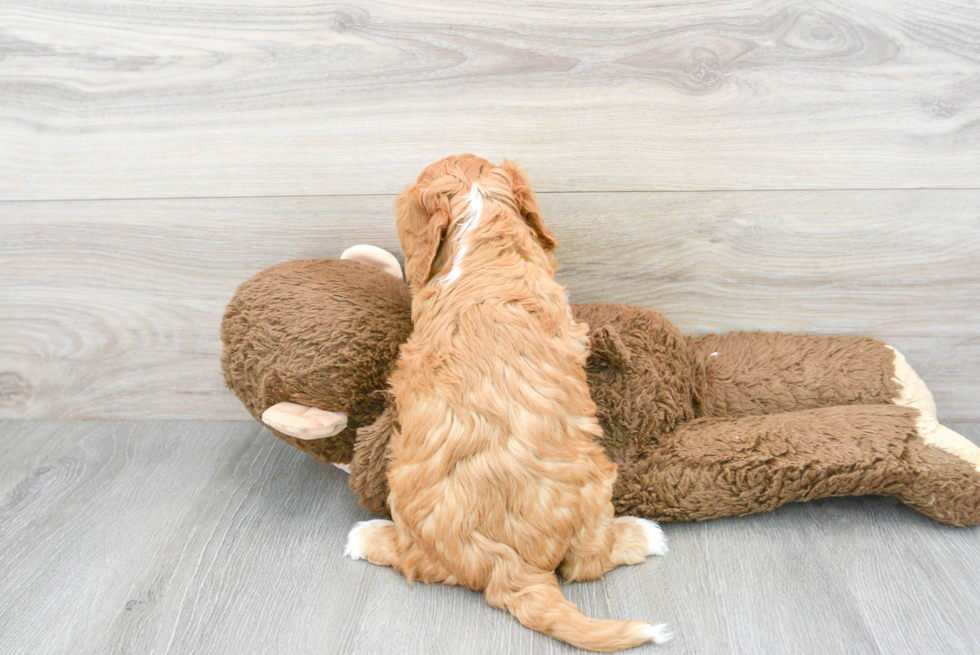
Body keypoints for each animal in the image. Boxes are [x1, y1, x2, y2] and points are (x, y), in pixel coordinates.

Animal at [340, 155, 668, 652]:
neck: (482, 228)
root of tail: (509, 566)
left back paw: (366, 537)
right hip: (596, 487)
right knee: (586, 564)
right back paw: (644, 534)